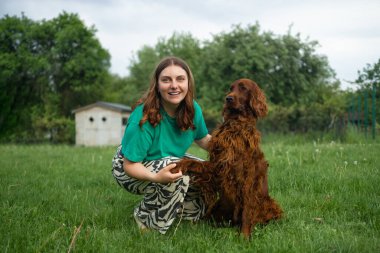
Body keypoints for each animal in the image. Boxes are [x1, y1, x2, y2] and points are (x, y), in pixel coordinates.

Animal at [172, 78, 282, 238]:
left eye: (243, 88)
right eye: (231, 88)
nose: (228, 98)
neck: (236, 125)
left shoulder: (247, 178)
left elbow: (247, 210)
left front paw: (244, 236)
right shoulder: (219, 165)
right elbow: (196, 163)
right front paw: (180, 164)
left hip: (269, 204)